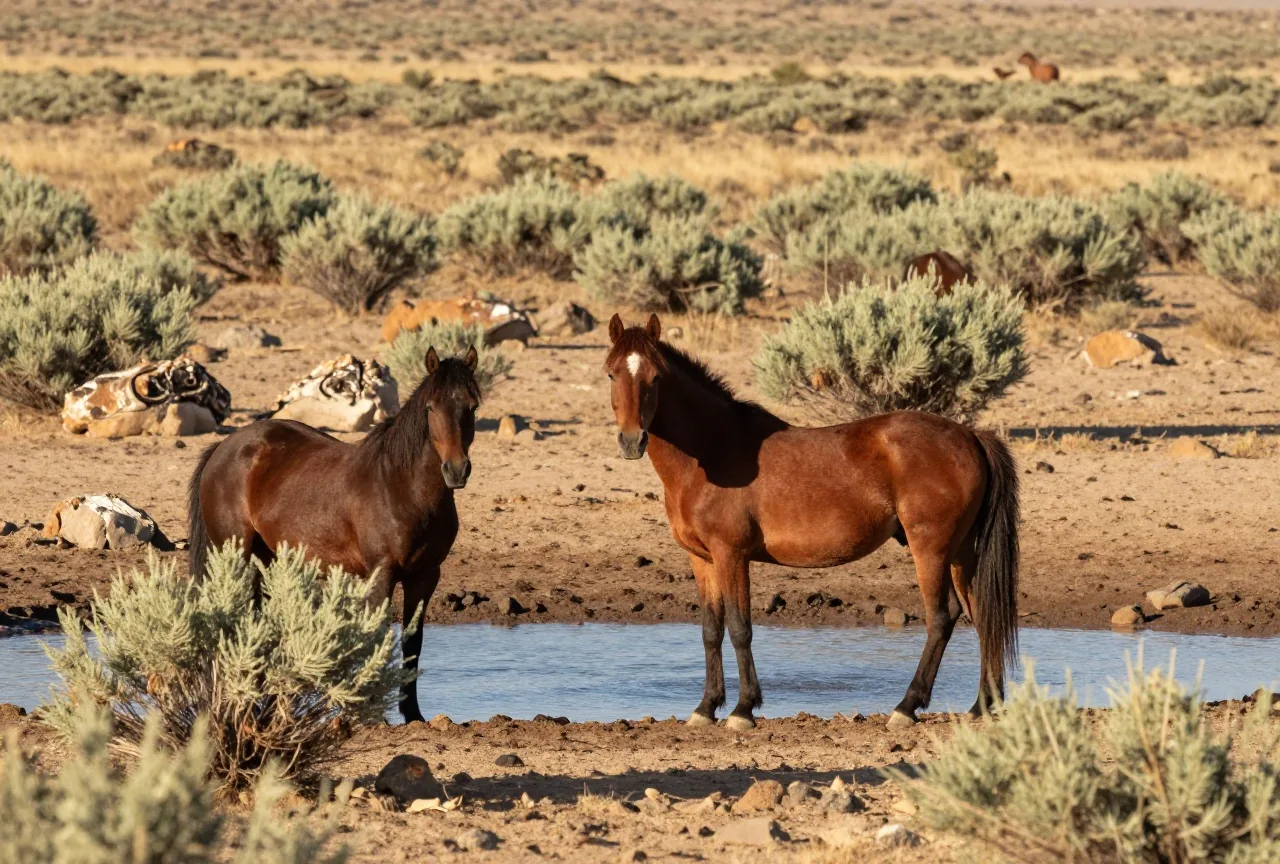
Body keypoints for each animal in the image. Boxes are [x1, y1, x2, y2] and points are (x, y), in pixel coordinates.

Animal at [187, 345, 480, 723]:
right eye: (431, 407)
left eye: (472, 407)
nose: (456, 470)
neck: (402, 487)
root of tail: (223, 449)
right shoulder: (381, 573)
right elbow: (378, 637)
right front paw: (372, 714)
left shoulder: (426, 576)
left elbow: (412, 643)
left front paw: (412, 714)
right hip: (234, 553)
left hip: (266, 559)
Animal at [604, 314, 1019, 730]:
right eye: (611, 373)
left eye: (656, 376)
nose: (630, 441)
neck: (711, 452)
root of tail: (971, 436)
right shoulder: (703, 559)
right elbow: (711, 630)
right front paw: (705, 708)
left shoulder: (731, 555)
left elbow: (739, 628)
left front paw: (743, 709)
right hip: (961, 553)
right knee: (983, 615)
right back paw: (982, 706)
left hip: (930, 550)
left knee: (942, 617)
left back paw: (907, 706)